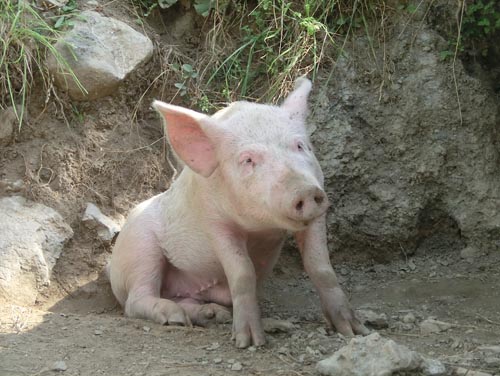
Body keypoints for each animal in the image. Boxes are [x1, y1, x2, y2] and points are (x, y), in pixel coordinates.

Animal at [109, 78, 368, 348]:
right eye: (248, 160)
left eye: (299, 146)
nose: (305, 191)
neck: (263, 228)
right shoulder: (214, 222)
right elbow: (242, 272)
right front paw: (249, 342)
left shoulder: (318, 209)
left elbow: (321, 267)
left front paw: (353, 330)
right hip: (138, 248)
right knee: (135, 299)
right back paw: (176, 318)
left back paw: (214, 315)